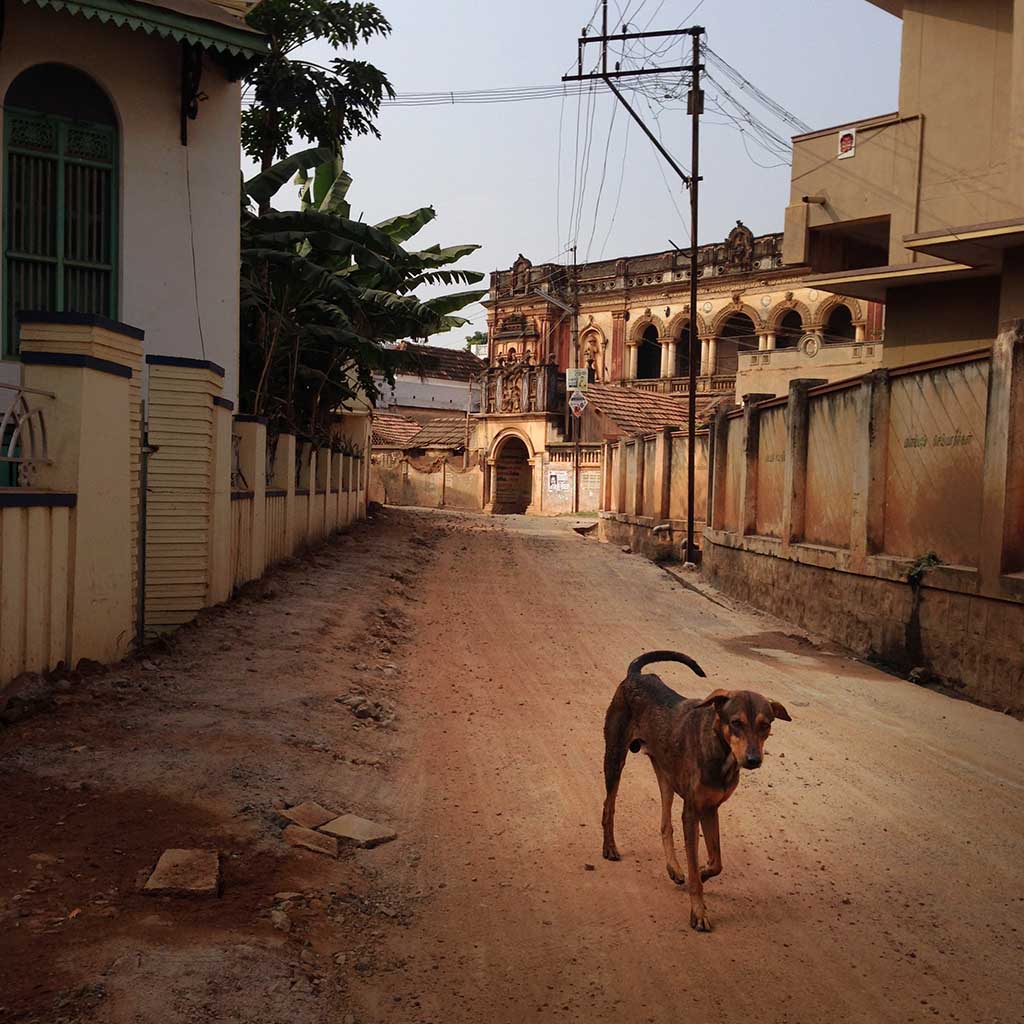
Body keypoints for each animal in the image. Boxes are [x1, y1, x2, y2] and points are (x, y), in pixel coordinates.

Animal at [598, 651, 790, 933]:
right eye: (736, 723)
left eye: (765, 725)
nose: (753, 760)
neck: (721, 751)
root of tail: (636, 675)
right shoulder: (692, 812)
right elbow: (698, 865)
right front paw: (698, 911)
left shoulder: (710, 809)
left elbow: (717, 861)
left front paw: (698, 872)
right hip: (614, 757)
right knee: (608, 806)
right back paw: (610, 847)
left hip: (664, 774)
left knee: (665, 824)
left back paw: (674, 868)